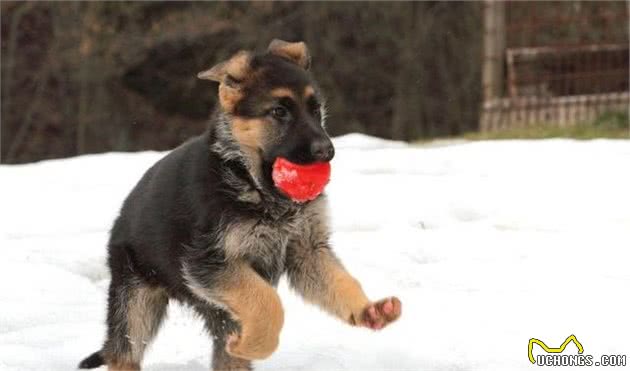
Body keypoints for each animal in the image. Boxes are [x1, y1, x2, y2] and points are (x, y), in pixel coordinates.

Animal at [79, 39, 402, 370]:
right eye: (279, 112)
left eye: (315, 109)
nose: (327, 152)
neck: (251, 181)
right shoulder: (209, 263)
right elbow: (270, 303)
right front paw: (255, 344)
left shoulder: (306, 251)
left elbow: (339, 281)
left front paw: (369, 310)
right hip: (136, 300)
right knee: (123, 351)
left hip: (220, 310)